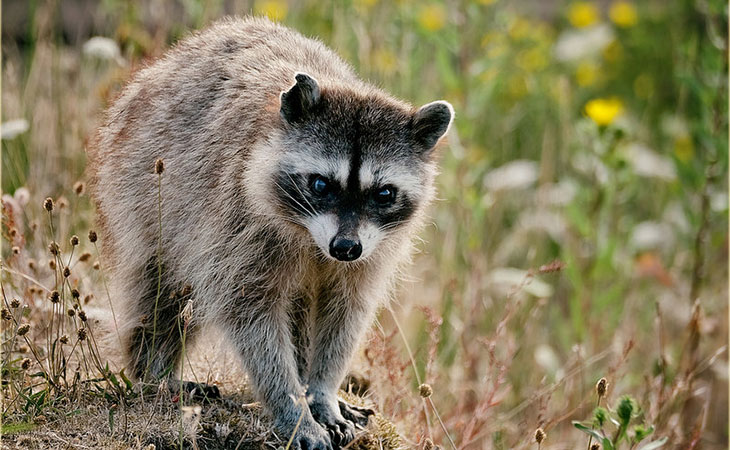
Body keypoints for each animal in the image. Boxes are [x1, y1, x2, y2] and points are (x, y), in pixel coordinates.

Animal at [88, 17, 452, 449]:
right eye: (320, 184)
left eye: (383, 193)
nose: (345, 248)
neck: (313, 240)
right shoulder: (236, 218)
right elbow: (248, 311)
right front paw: (291, 407)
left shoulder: (374, 248)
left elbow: (346, 310)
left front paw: (322, 391)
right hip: (145, 189)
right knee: (161, 289)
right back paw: (153, 371)